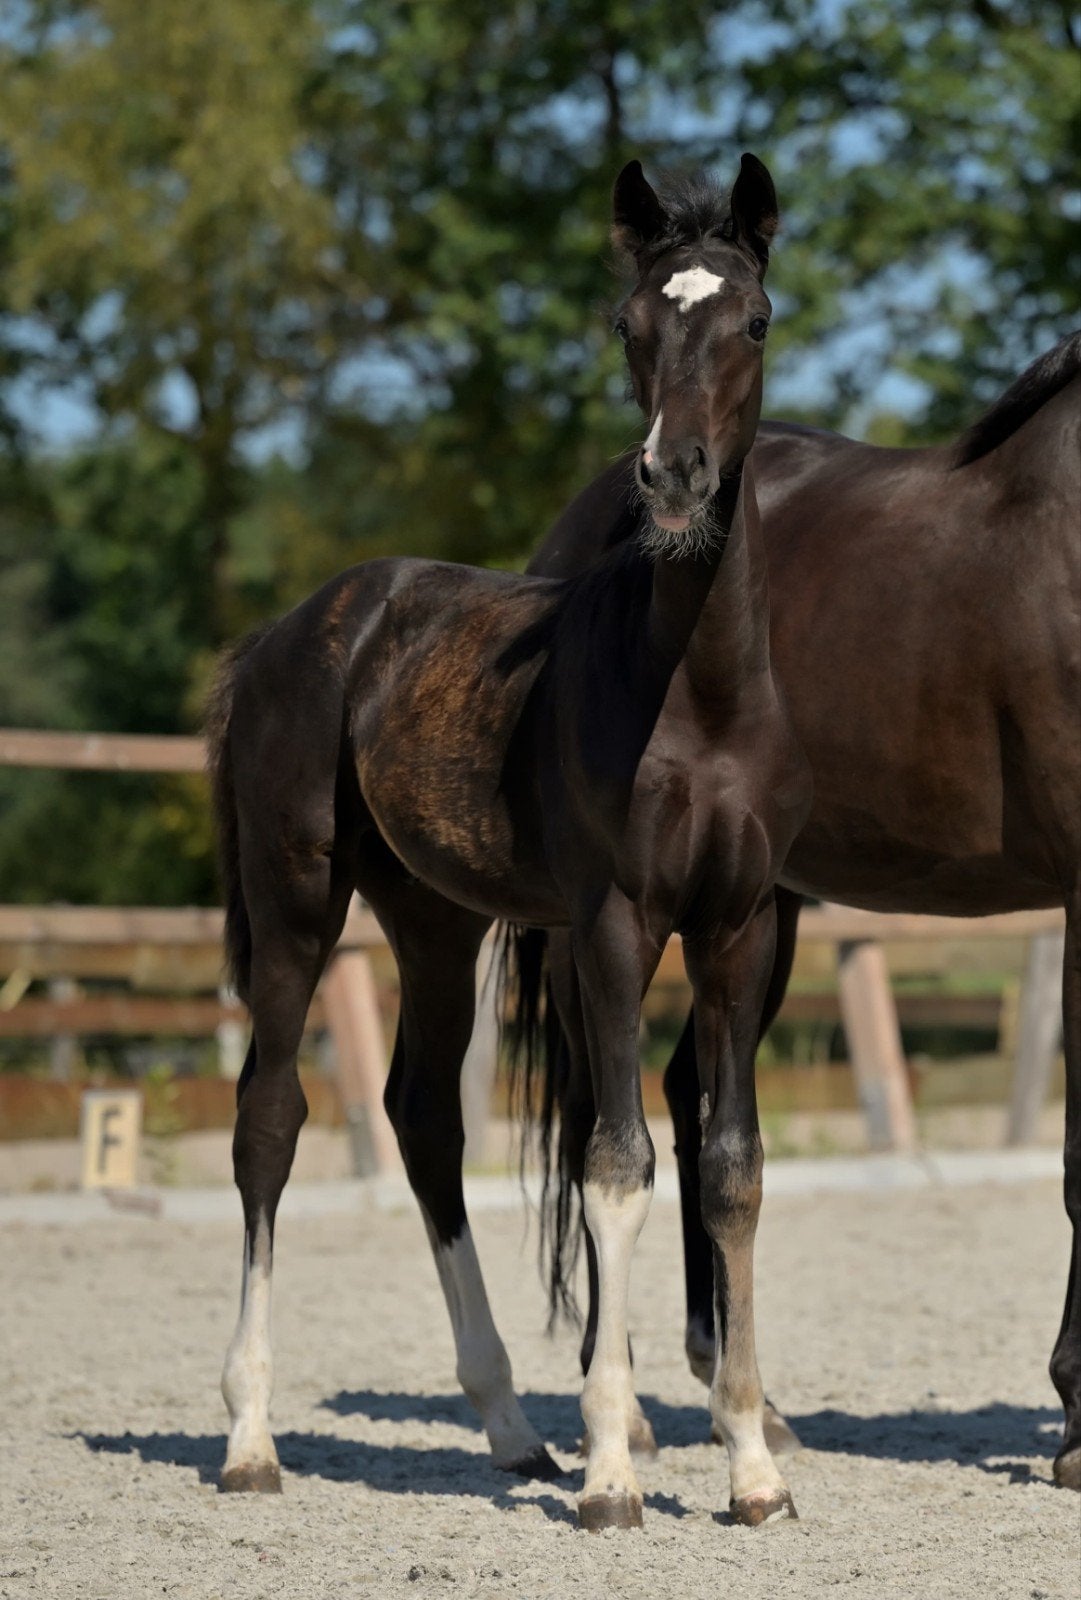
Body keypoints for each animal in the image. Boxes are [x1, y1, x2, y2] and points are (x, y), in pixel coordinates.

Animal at [206, 153, 812, 1530]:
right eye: (629, 323)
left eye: (753, 321)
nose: (675, 478)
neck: (692, 690)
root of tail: (286, 631)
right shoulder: (612, 924)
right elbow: (618, 1160)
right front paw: (613, 1474)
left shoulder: (741, 927)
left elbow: (732, 1167)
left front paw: (750, 1470)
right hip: (299, 902)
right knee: (269, 1118)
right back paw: (250, 1436)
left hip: (434, 919)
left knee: (423, 1115)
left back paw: (507, 1427)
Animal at [523, 330, 1081, 1490]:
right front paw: (1078, 1425)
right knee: (607, 1109)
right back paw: (623, 1410)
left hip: (759, 899)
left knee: (690, 1087)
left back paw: (746, 1400)